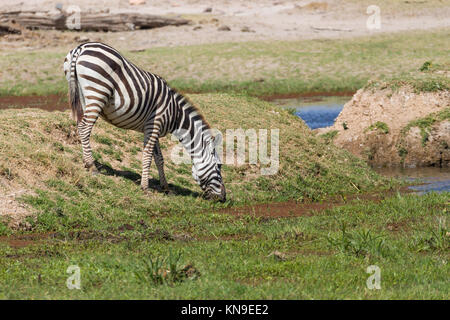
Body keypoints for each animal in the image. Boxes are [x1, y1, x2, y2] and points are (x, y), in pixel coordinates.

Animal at [63, 42, 225, 202]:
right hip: (97, 93)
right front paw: (145, 187)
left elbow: (159, 158)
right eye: (219, 167)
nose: (224, 198)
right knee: (85, 127)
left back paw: (87, 162)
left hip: (83, 96)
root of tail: (82, 47)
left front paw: (165, 187)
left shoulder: (154, 129)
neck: (174, 113)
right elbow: (148, 156)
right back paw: (91, 166)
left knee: (81, 125)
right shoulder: (155, 124)